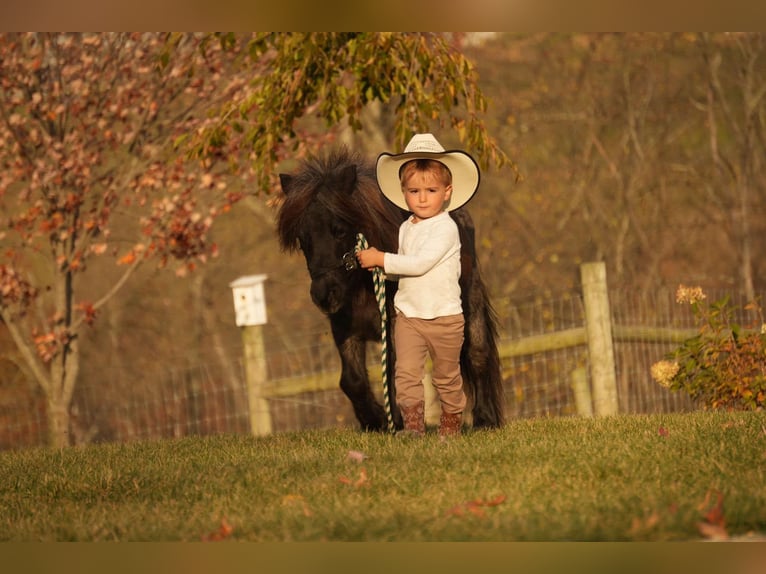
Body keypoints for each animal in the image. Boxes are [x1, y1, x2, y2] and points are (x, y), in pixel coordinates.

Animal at [276, 148, 504, 432]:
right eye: (302, 239)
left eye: (339, 230)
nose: (324, 295)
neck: (362, 287)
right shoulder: (344, 329)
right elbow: (352, 380)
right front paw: (375, 421)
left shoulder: (395, 324)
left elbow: (395, 372)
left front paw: (395, 421)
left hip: (470, 303)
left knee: (477, 354)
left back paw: (484, 419)